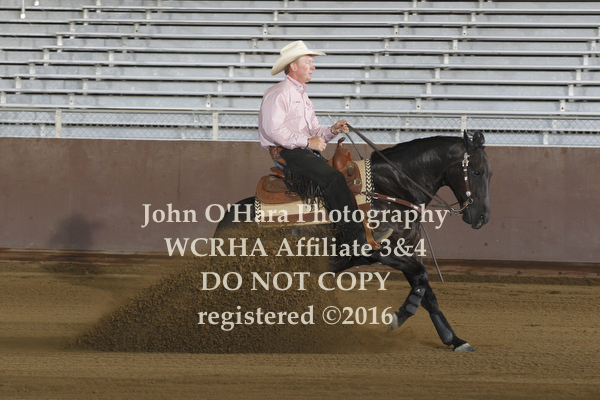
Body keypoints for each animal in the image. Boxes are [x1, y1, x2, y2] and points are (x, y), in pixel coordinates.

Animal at [214, 131, 491, 352]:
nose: (482, 217)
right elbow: (422, 277)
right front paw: (400, 315)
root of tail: (224, 222)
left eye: (490, 173)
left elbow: (426, 290)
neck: (389, 191)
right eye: (476, 171)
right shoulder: (382, 252)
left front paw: (454, 339)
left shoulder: (408, 253)